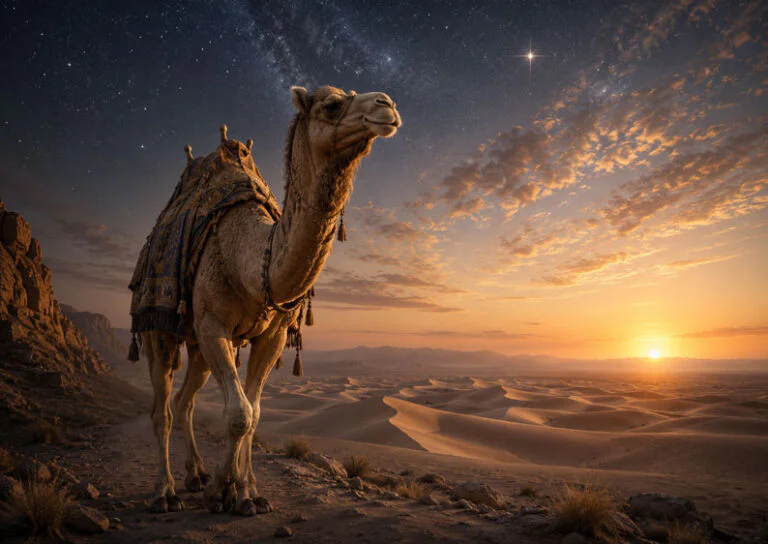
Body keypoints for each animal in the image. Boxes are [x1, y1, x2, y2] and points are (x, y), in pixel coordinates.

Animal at [141, 85, 401, 516]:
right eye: (332, 105)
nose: (388, 105)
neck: (247, 257)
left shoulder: (271, 336)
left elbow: (256, 411)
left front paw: (245, 493)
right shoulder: (213, 326)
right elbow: (239, 413)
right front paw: (222, 490)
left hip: (196, 345)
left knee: (185, 401)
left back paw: (195, 474)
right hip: (158, 329)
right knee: (161, 408)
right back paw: (165, 493)